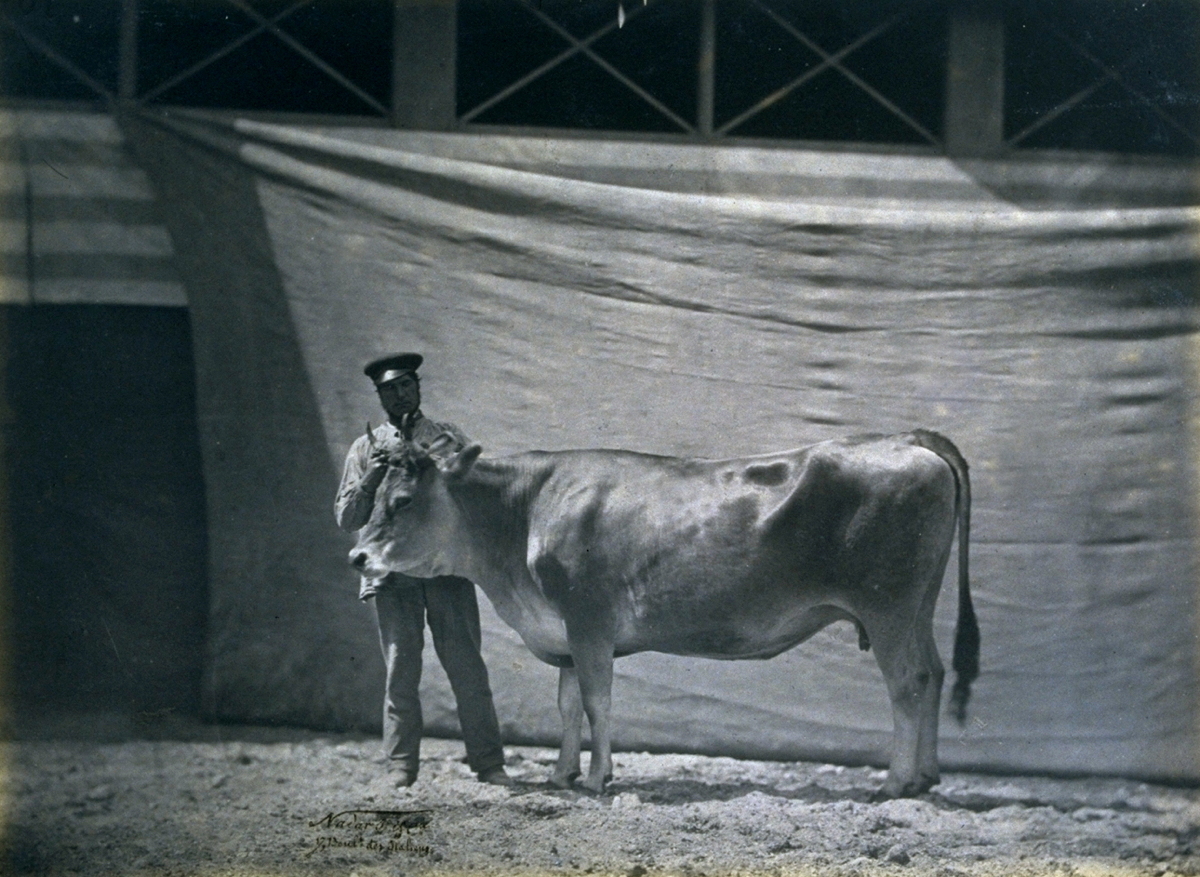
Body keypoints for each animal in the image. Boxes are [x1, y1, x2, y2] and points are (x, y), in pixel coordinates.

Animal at [349, 429, 978, 799]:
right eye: (373, 496)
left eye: (402, 500)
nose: (357, 555)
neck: (522, 515)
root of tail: (905, 439)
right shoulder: (563, 632)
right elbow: (568, 706)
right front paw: (562, 774)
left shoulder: (589, 619)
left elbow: (598, 702)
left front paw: (598, 778)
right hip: (918, 605)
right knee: (934, 671)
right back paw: (925, 777)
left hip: (888, 604)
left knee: (907, 683)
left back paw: (894, 783)